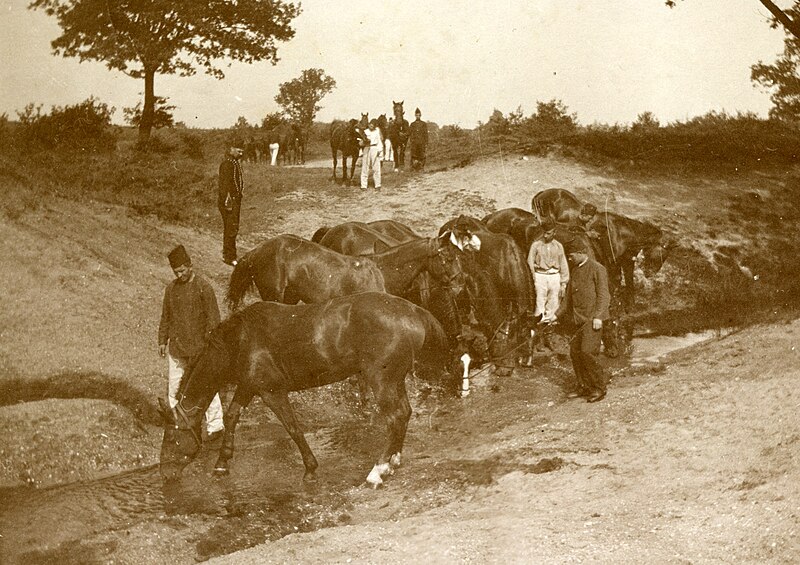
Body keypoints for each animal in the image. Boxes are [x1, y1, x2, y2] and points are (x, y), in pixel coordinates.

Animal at [158, 290, 450, 484]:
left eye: (171, 438)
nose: (166, 473)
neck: (240, 340)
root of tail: (413, 310)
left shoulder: (272, 393)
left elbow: (293, 427)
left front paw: (310, 467)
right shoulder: (248, 387)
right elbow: (231, 417)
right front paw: (222, 462)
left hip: (381, 382)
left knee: (395, 417)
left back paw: (377, 471)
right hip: (393, 382)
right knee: (404, 414)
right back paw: (393, 461)